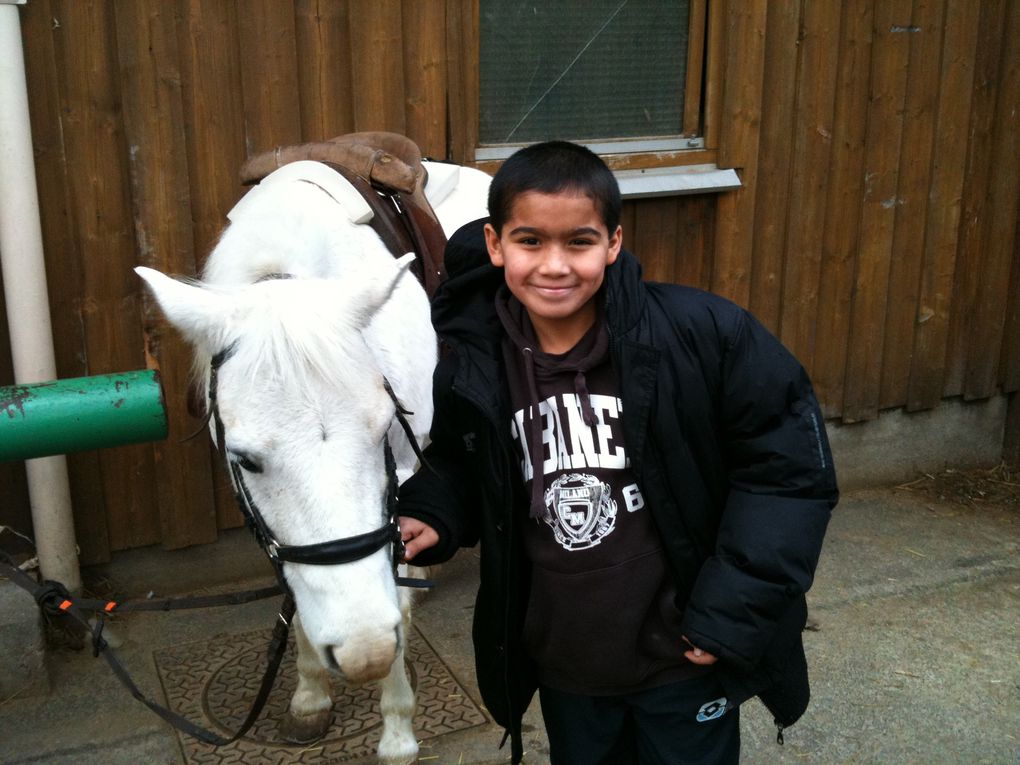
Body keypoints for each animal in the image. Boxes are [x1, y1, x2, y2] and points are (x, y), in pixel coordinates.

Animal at [138, 153, 489, 762]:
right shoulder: (271, 519)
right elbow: (298, 590)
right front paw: (309, 696)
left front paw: (397, 731)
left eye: (381, 431)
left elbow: (394, 603)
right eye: (246, 459)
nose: (365, 652)